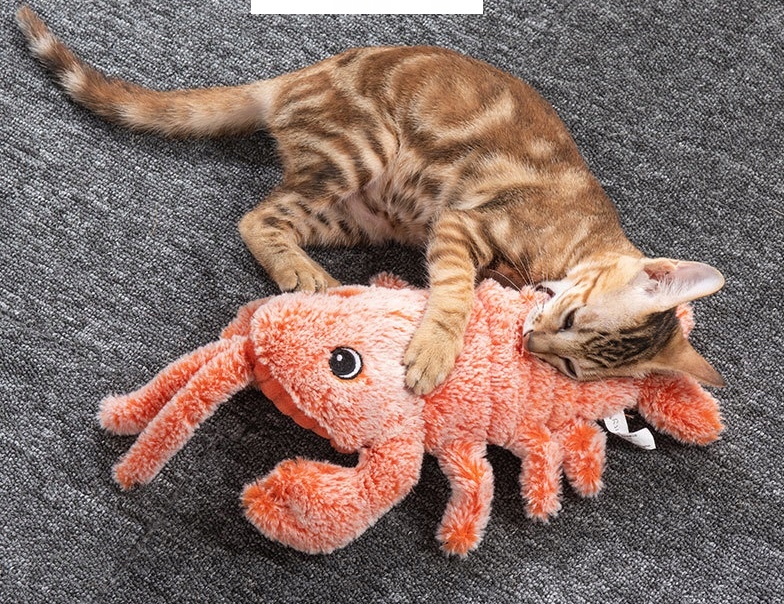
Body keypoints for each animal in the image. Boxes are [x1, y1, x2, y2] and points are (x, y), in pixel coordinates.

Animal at [16, 5, 725, 394]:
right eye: (573, 320)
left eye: (575, 370)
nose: (533, 346)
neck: (571, 244)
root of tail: (295, 79)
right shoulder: (461, 226)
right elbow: (455, 297)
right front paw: (436, 353)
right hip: (364, 147)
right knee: (256, 215)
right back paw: (302, 274)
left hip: (359, 216)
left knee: (265, 218)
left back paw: (303, 271)